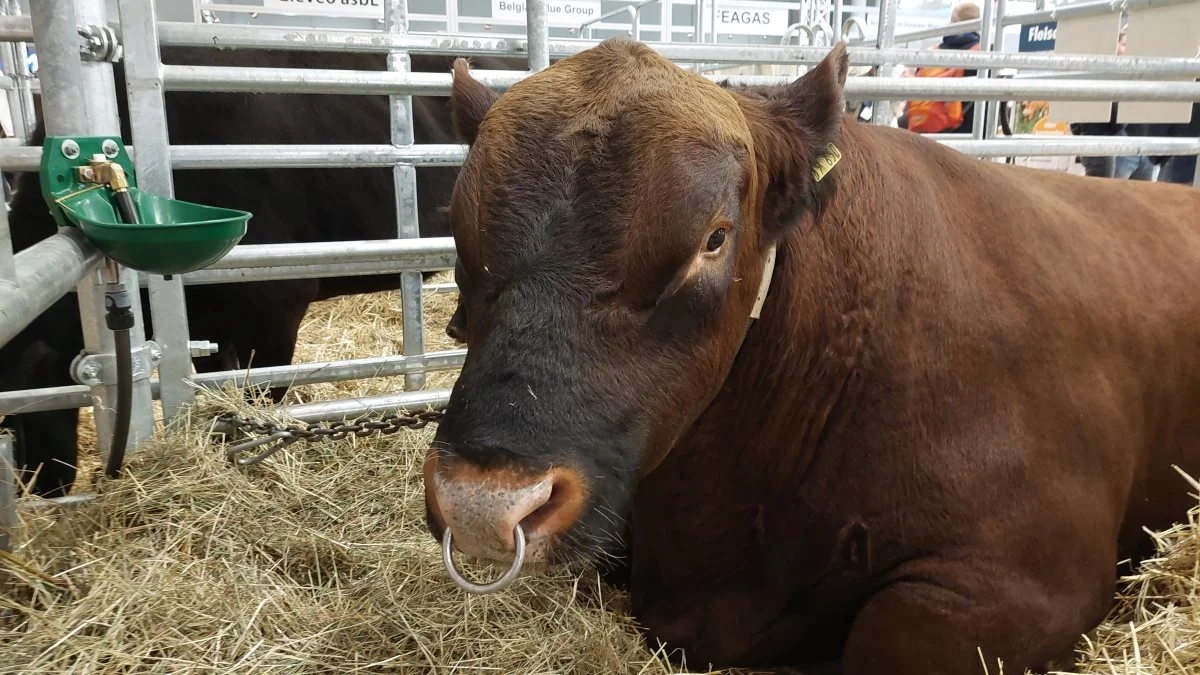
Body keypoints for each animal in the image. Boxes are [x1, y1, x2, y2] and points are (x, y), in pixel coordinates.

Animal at [2, 45, 523, 494]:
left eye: (13, 417)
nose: (37, 490)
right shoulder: (211, 322)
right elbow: (224, 381)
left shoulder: (275, 305)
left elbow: (264, 393)